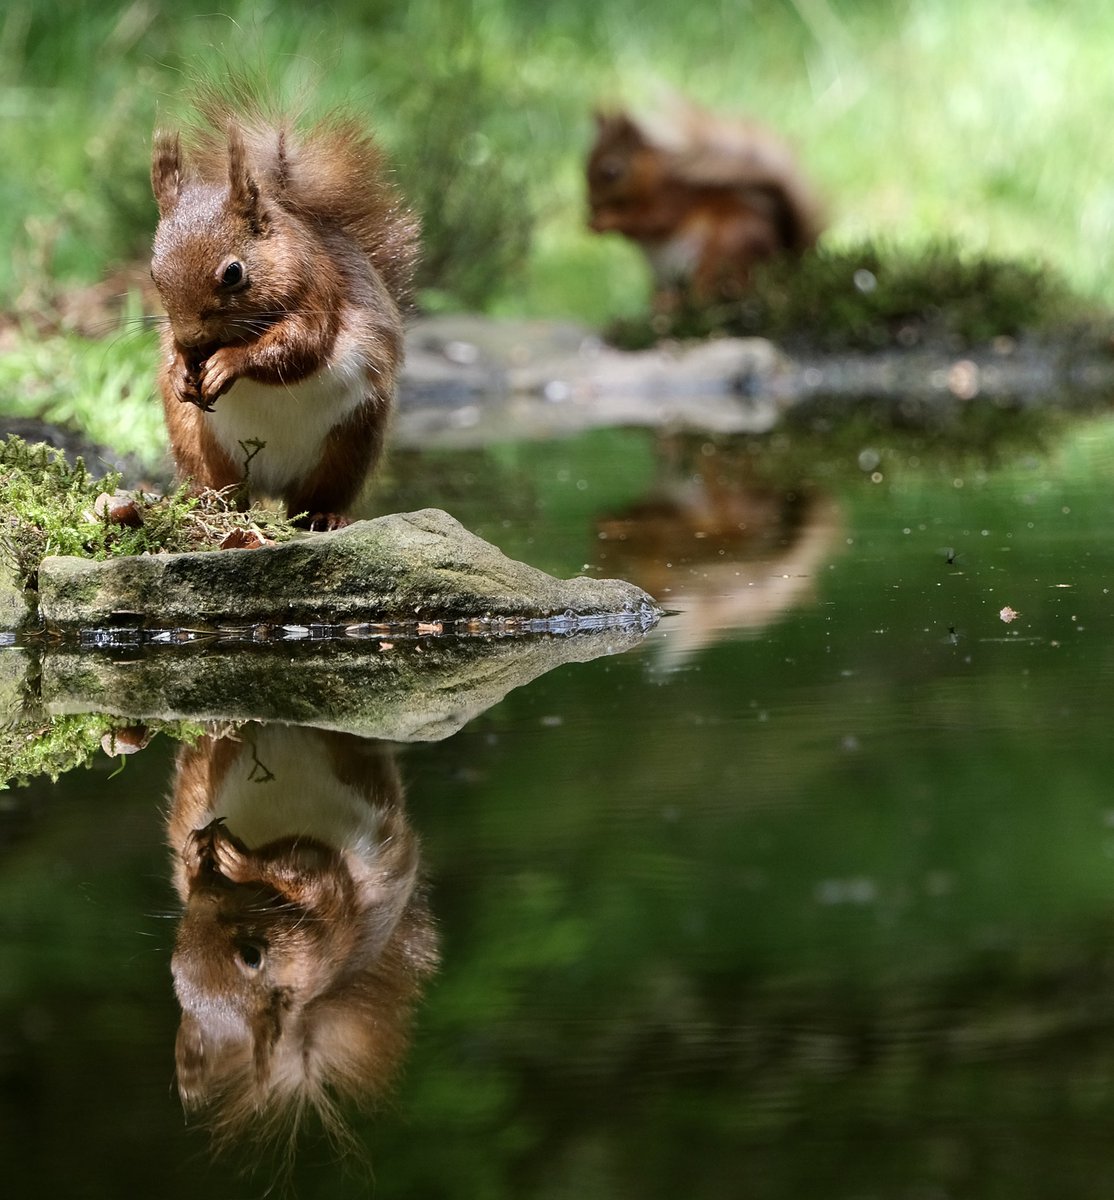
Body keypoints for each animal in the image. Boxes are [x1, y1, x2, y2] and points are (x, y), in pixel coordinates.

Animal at [150, 97, 419, 530]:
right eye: (153, 273)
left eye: (233, 272)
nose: (192, 338)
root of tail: (270, 484)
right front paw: (179, 369)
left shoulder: (320, 296)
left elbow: (299, 348)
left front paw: (227, 364)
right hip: (195, 438)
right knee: (223, 487)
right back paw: (208, 502)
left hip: (350, 441)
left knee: (313, 497)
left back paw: (324, 516)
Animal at [586, 96, 824, 310]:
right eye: (586, 162)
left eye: (611, 172)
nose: (592, 205)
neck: (653, 176)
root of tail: (782, 263)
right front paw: (591, 223)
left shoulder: (673, 197)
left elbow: (654, 220)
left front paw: (605, 221)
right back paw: (662, 304)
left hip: (726, 250)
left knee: (716, 290)